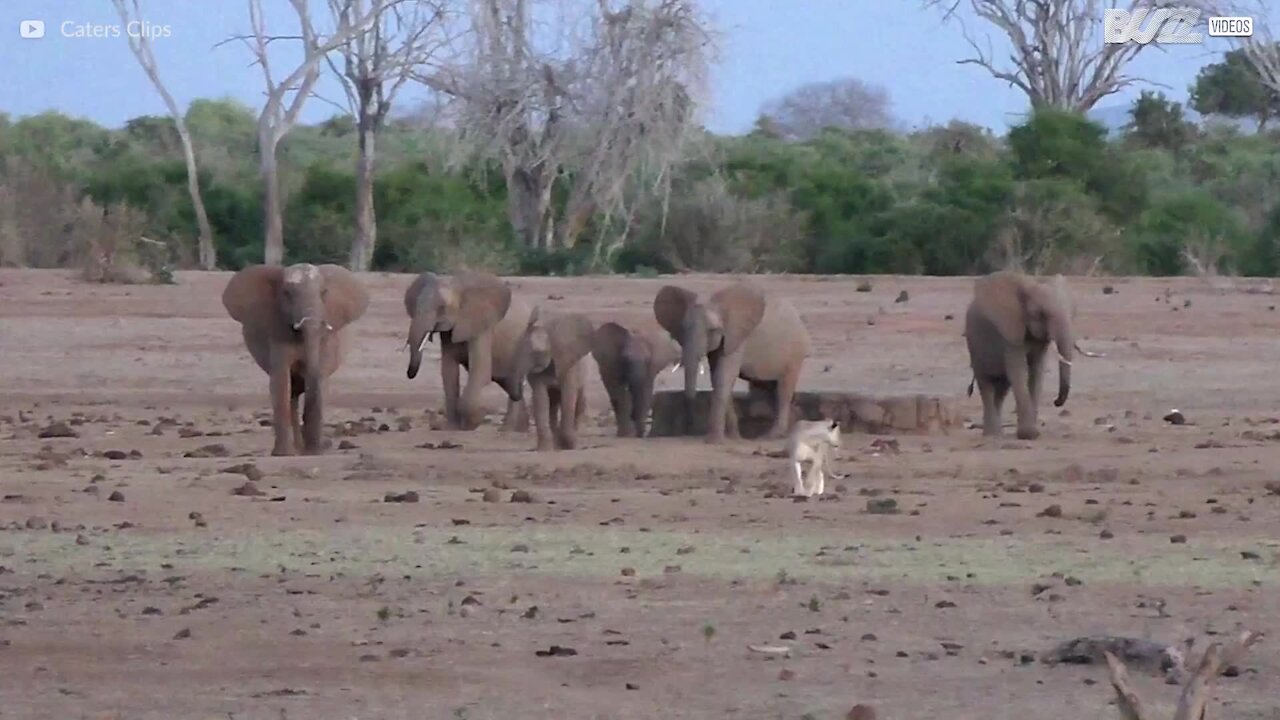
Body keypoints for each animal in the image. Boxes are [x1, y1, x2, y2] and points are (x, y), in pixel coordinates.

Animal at [220, 262, 368, 453]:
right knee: (292, 395)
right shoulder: (277, 331)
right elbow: (281, 382)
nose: (324, 445)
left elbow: (320, 378)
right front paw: (283, 454)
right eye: (287, 294)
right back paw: (295, 450)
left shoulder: (326, 340)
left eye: (324, 293)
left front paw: (314, 453)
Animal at [404, 267, 535, 425]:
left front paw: (471, 422)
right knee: (511, 386)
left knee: (514, 385)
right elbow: (449, 372)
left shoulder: (483, 329)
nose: (409, 374)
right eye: (415, 305)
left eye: (442, 308)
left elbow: (480, 371)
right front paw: (454, 426)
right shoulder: (449, 332)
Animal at [509, 304, 593, 450]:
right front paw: (544, 449)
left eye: (539, 353)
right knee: (553, 403)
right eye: (520, 349)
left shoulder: (569, 364)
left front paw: (570, 445)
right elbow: (540, 398)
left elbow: (569, 396)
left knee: (579, 398)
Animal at [655, 281, 814, 440]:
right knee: (769, 388)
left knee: (783, 390)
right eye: (683, 328)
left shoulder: (737, 337)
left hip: (795, 353)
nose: (689, 428)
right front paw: (734, 437)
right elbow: (717, 378)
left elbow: (723, 376)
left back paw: (772, 436)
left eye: (713, 330)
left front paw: (714, 441)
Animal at [962, 269, 1080, 438]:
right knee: (986, 384)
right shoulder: (1010, 334)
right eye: (1039, 314)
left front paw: (1032, 433)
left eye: (1073, 313)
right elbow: (1019, 371)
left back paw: (997, 434)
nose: (1056, 402)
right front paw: (1029, 435)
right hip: (974, 343)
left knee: (1002, 388)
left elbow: (1037, 371)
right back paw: (991, 435)